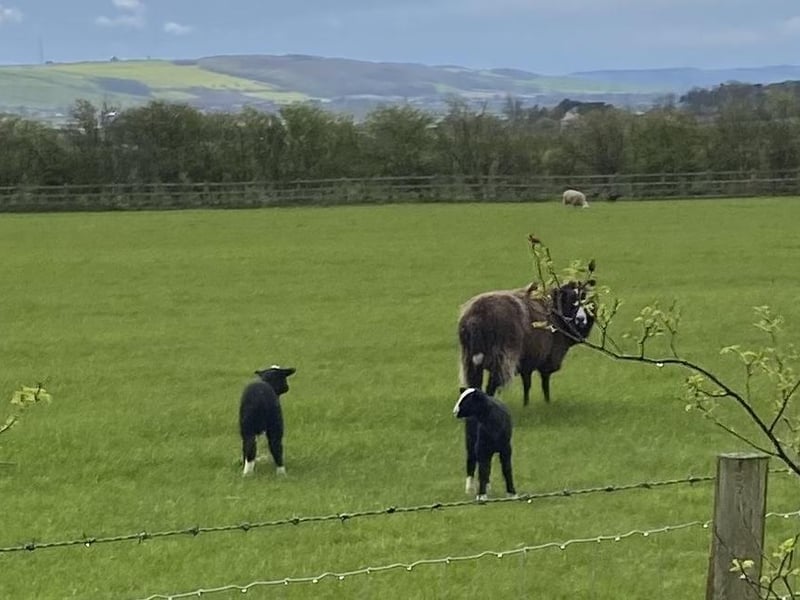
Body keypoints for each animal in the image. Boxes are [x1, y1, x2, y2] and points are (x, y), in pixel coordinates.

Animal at [458, 279, 595, 407]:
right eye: (570, 300)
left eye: (587, 300)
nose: (581, 319)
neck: (556, 312)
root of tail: (477, 316)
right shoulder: (545, 358)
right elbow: (543, 383)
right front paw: (546, 403)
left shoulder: (527, 361)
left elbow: (527, 384)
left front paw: (526, 404)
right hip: (503, 357)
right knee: (491, 386)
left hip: (470, 359)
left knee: (475, 385)